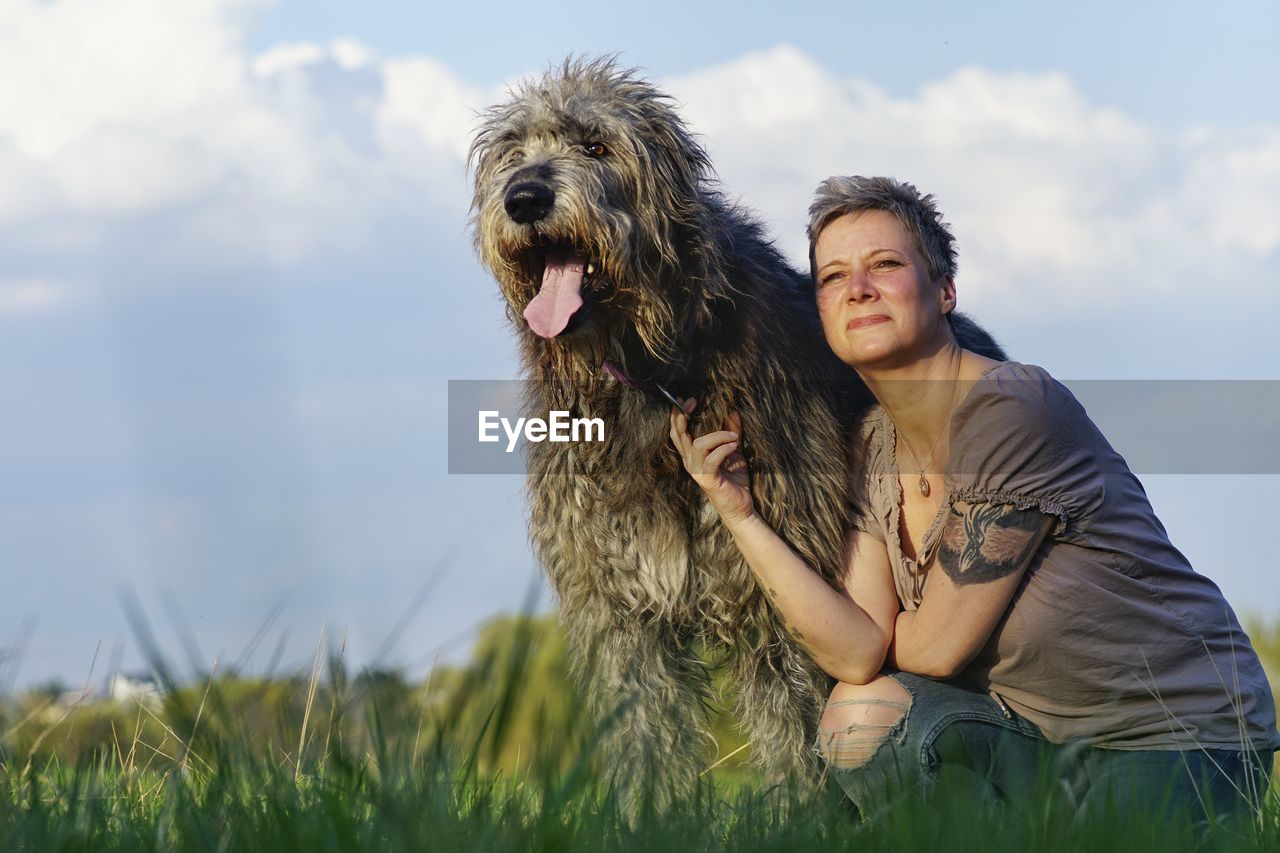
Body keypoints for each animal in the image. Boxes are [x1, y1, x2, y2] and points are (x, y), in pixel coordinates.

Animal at [468, 56, 998, 794]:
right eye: (513, 151)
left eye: (596, 145)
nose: (523, 198)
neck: (654, 373)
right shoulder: (621, 610)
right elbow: (647, 731)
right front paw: (653, 812)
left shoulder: (779, 597)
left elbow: (795, 731)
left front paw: (800, 812)